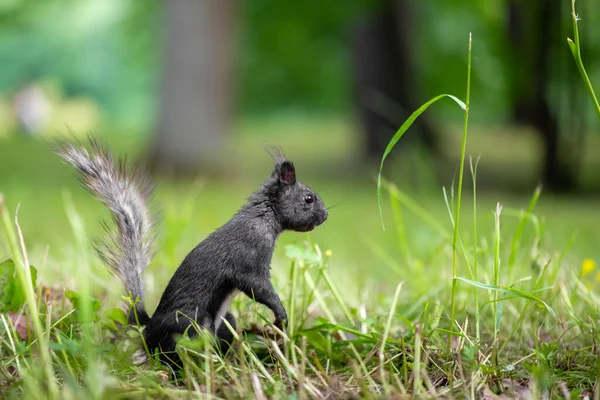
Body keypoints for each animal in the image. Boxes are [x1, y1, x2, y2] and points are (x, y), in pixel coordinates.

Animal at [55, 139, 328, 370]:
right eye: (308, 198)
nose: (326, 216)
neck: (263, 217)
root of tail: (149, 329)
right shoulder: (248, 258)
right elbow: (256, 287)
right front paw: (280, 314)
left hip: (224, 322)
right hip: (193, 323)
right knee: (173, 354)